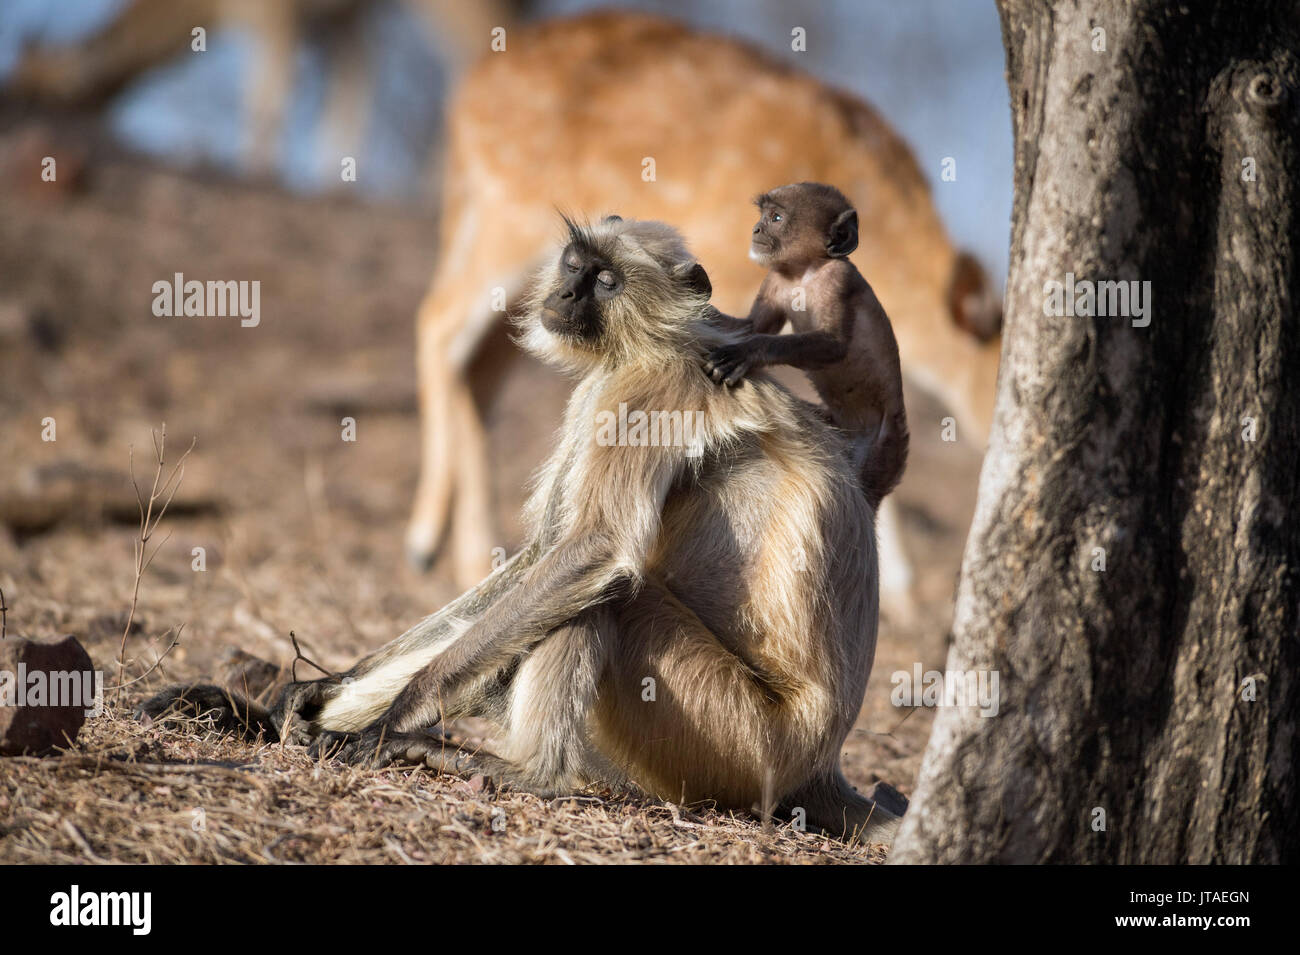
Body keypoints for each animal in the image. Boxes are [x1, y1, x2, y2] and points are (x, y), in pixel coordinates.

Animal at [139, 215, 903, 845]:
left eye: (605, 279)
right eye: (573, 264)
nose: (564, 294)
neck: (654, 342)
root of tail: (820, 761)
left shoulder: (645, 392)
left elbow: (591, 552)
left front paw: (396, 718)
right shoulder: (605, 390)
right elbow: (538, 554)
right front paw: (310, 698)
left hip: (741, 742)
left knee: (614, 594)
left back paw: (534, 773)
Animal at [703, 182, 909, 509]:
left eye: (775, 218)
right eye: (763, 215)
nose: (756, 229)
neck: (805, 272)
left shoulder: (838, 278)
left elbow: (834, 346)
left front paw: (746, 353)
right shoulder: (776, 276)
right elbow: (751, 326)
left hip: (883, 449)